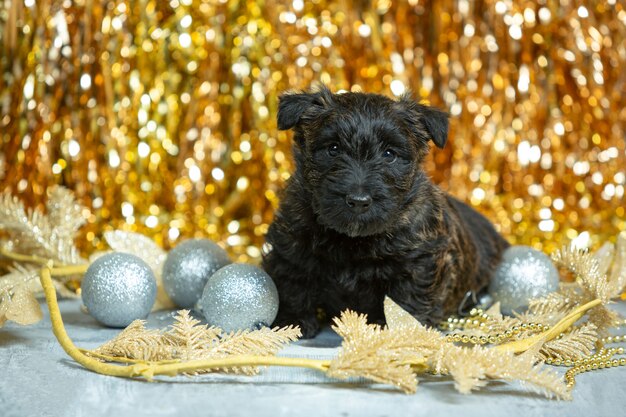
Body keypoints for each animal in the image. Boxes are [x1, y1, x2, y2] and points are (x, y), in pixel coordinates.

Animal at [260, 86, 510, 336]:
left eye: (389, 154)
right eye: (333, 149)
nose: (358, 201)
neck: (353, 240)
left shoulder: (420, 260)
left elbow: (406, 298)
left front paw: (402, 328)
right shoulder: (291, 247)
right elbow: (293, 284)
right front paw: (293, 322)